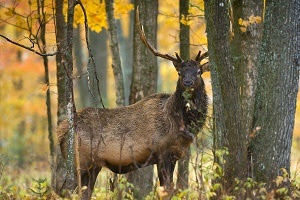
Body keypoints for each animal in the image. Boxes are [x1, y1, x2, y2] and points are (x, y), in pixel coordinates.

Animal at [58, 8, 209, 200]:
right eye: (180, 73)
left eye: (198, 71)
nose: (188, 83)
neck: (180, 124)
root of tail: (61, 131)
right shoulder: (163, 153)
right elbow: (166, 190)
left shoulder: (174, 155)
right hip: (81, 162)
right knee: (63, 189)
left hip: (93, 166)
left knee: (84, 192)